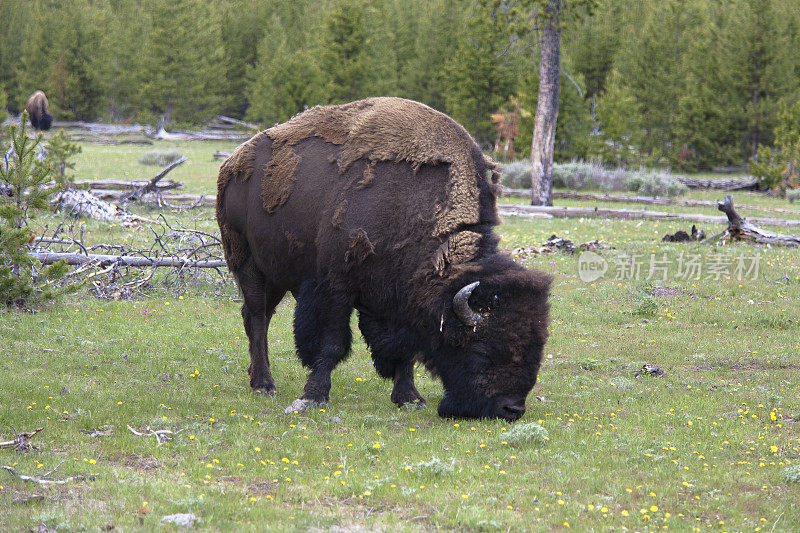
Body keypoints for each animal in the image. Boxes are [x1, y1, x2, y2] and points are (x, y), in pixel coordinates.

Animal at [216, 96, 552, 420]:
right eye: (481, 349)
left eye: (537, 346)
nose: (511, 409)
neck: (410, 208)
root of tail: (232, 163)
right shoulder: (335, 286)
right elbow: (332, 344)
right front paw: (311, 398)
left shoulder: (395, 301)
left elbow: (404, 351)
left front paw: (410, 399)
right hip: (249, 266)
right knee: (257, 318)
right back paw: (264, 384)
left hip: (276, 275)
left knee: (256, 315)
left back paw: (257, 379)